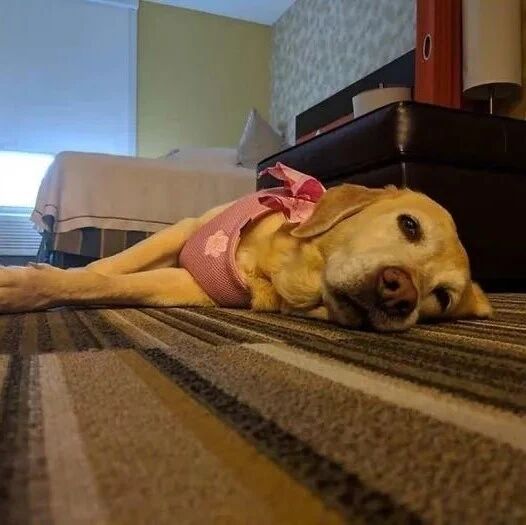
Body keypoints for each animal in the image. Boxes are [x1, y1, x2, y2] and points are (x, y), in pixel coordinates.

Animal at [0, 164, 491, 331]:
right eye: (409, 225)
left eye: (441, 298)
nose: (401, 293)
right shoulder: (184, 230)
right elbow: (109, 264)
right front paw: (42, 274)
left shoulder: (191, 284)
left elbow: (108, 282)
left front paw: (29, 286)